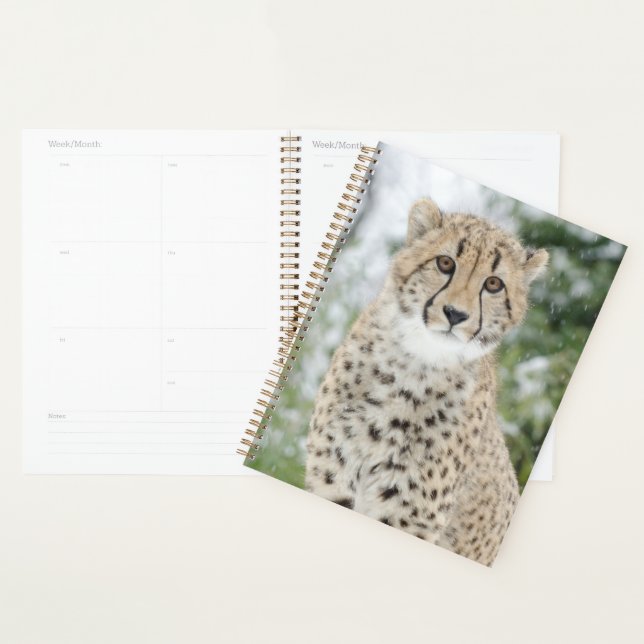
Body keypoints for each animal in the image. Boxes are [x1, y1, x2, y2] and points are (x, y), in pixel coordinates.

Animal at [305, 198, 549, 565]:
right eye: (445, 263)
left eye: (494, 284)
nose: (455, 314)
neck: (412, 365)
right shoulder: (333, 478)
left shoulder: (409, 515)